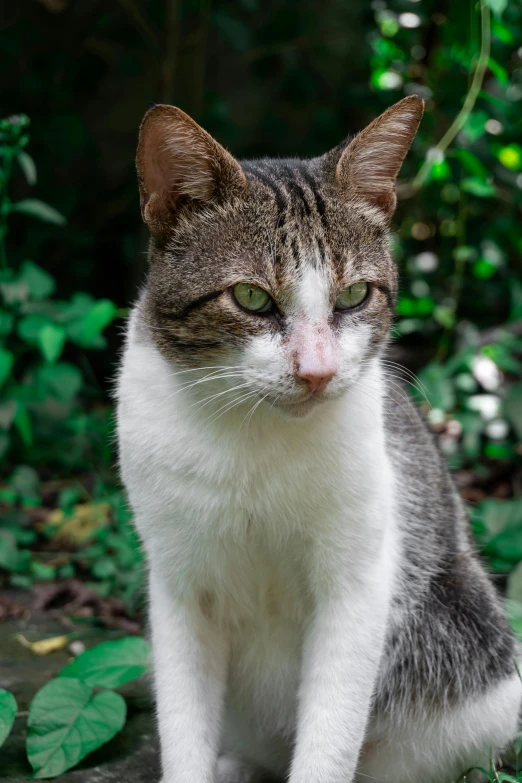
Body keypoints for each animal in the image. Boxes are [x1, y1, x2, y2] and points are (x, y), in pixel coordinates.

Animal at [118, 99, 520, 783]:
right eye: (250, 297)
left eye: (354, 294)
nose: (317, 371)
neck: (253, 433)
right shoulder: (178, 585)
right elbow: (183, 724)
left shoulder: (357, 585)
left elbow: (331, 733)